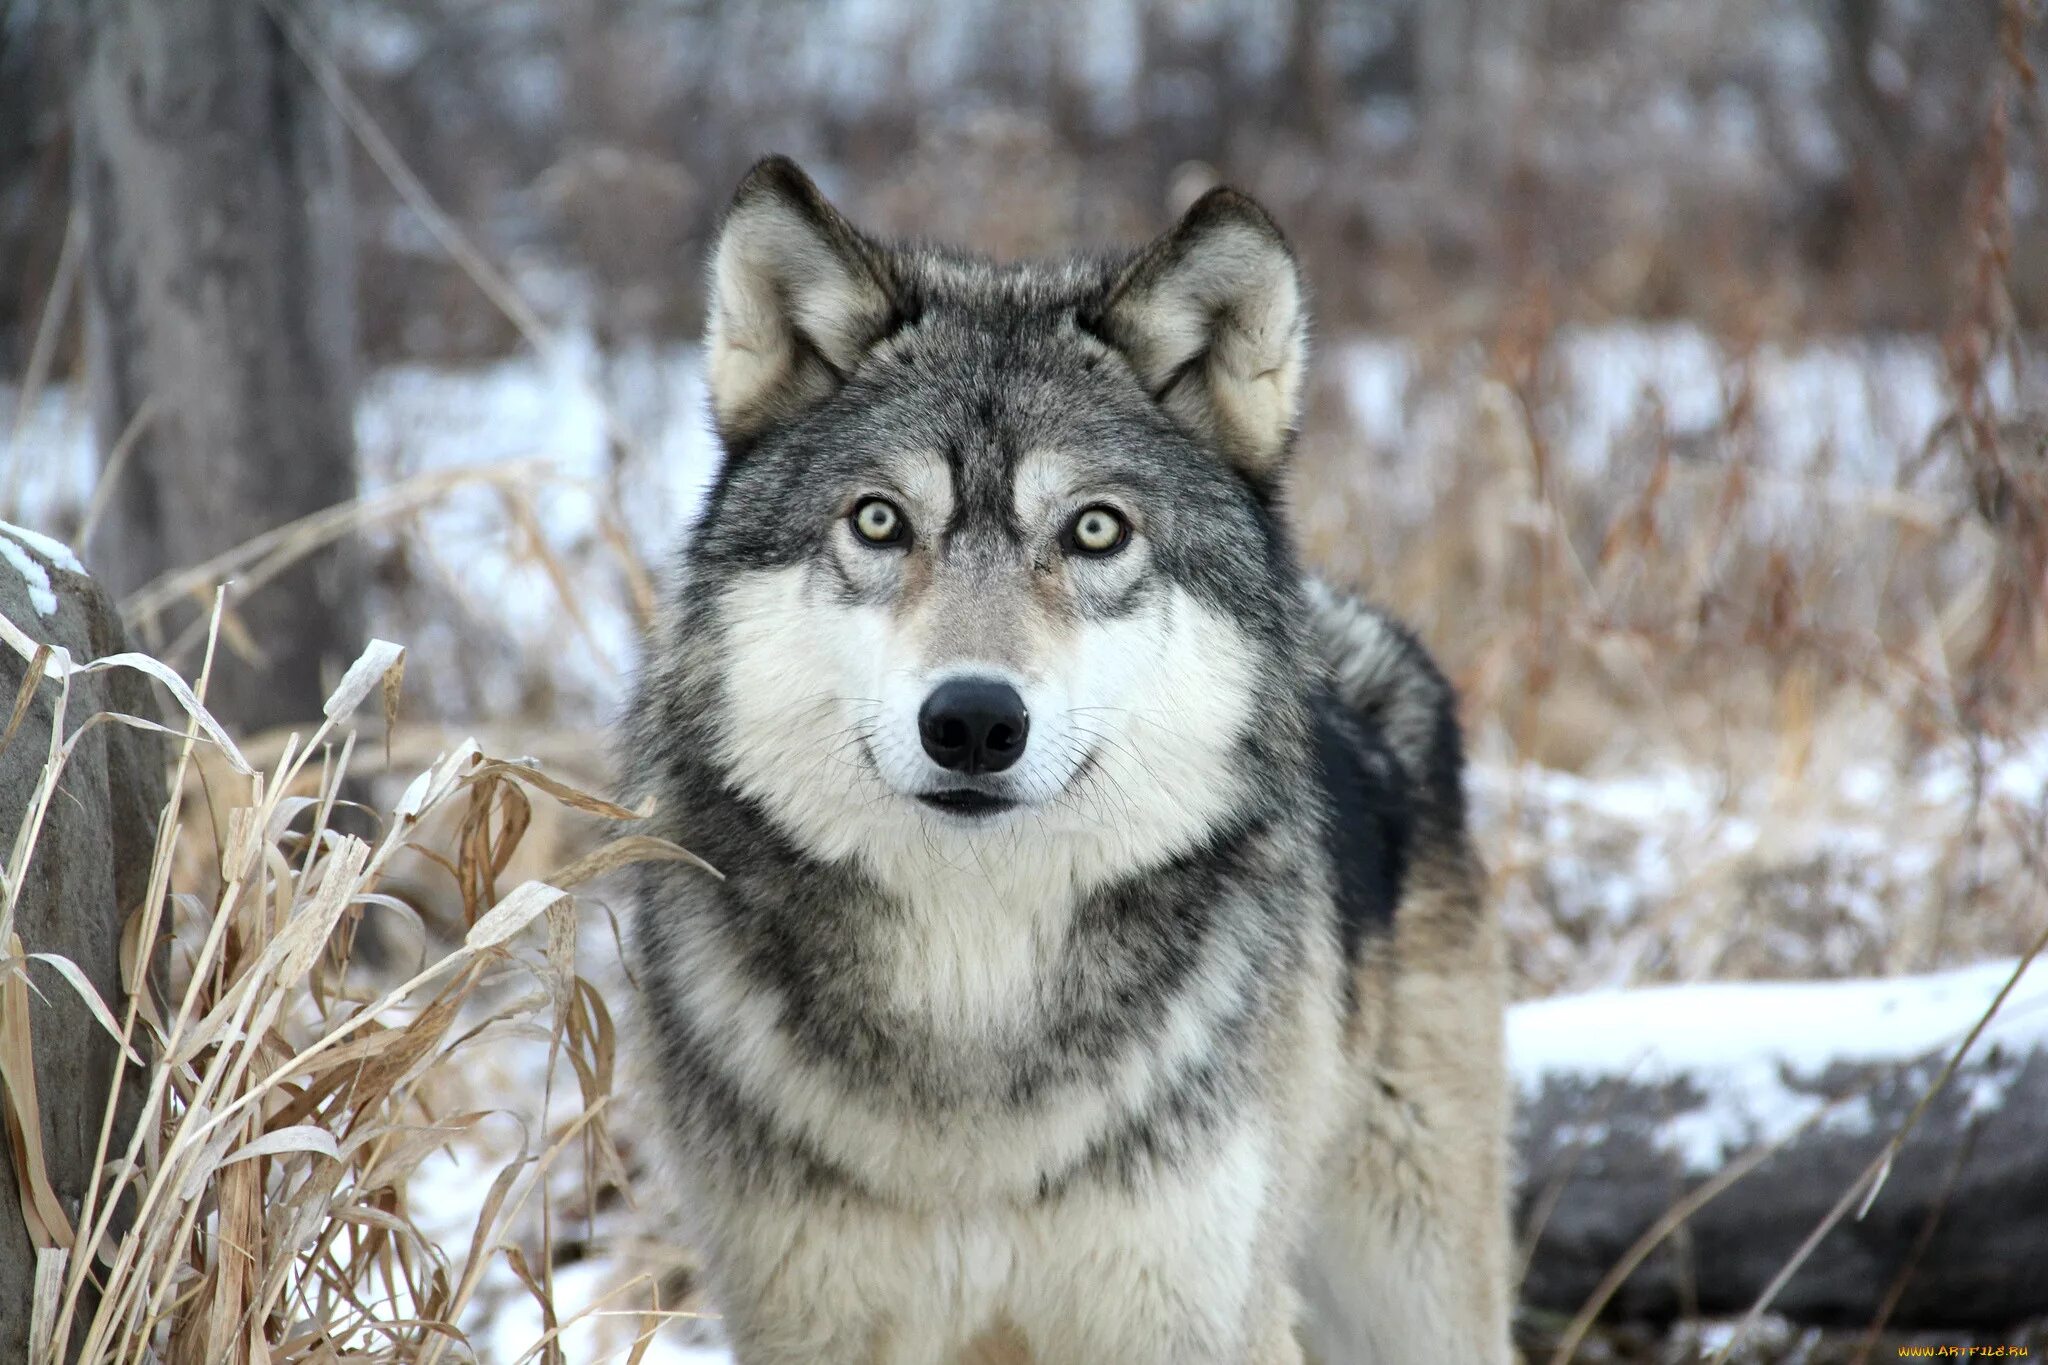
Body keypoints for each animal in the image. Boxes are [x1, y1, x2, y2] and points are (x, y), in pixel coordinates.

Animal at [614, 157, 1515, 1365]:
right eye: (879, 521)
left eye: (1095, 531)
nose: (973, 722)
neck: (976, 974)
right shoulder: (811, 1321)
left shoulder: (1188, 1315)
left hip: (1409, 1289)